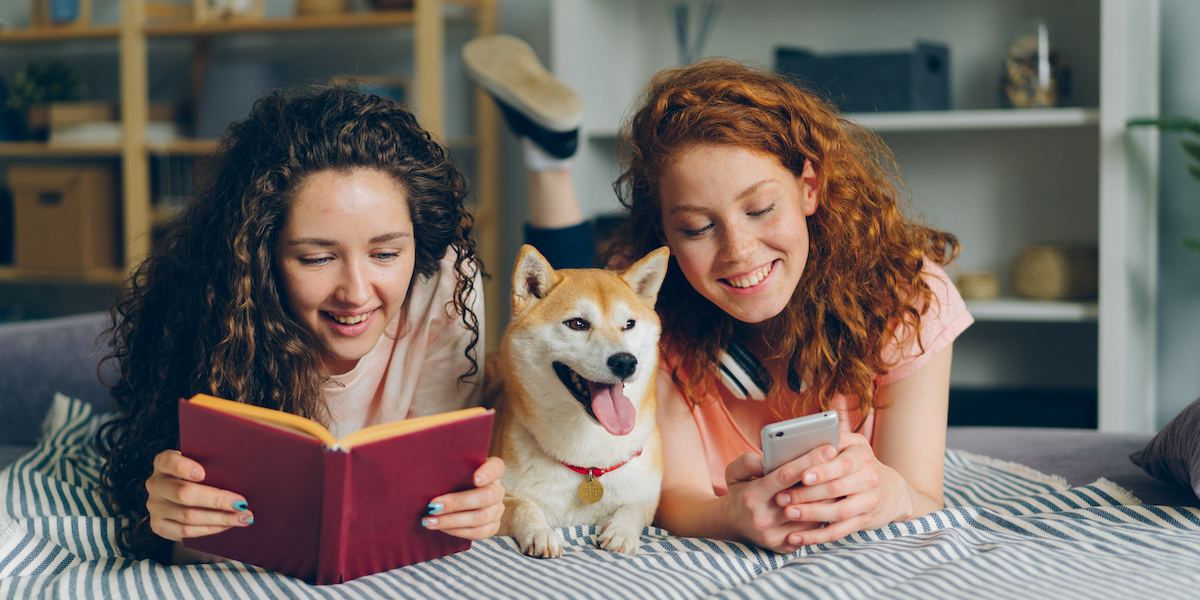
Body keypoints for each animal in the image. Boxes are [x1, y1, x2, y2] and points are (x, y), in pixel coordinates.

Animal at [482, 244, 672, 556]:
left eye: (629, 324)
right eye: (577, 323)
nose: (625, 361)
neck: (588, 461)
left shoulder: (647, 503)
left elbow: (634, 508)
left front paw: (621, 531)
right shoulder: (493, 502)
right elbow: (523, 505)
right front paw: (541, 533)